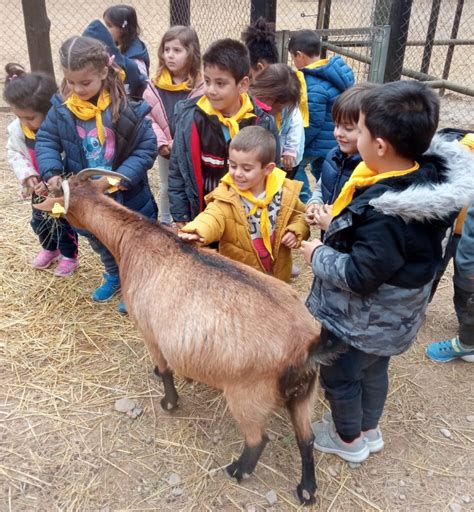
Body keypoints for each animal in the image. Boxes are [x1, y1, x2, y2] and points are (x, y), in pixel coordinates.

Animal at [34, 170, 334, 506]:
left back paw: (237, 470)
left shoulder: (149, 330)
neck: (134, 242)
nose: (42, 197)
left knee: (259, 439)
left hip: (248, 395)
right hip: (304, 395)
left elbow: (166, 370)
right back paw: (306, 490)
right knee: (306, 439)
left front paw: (168, 402)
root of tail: (307, 346)